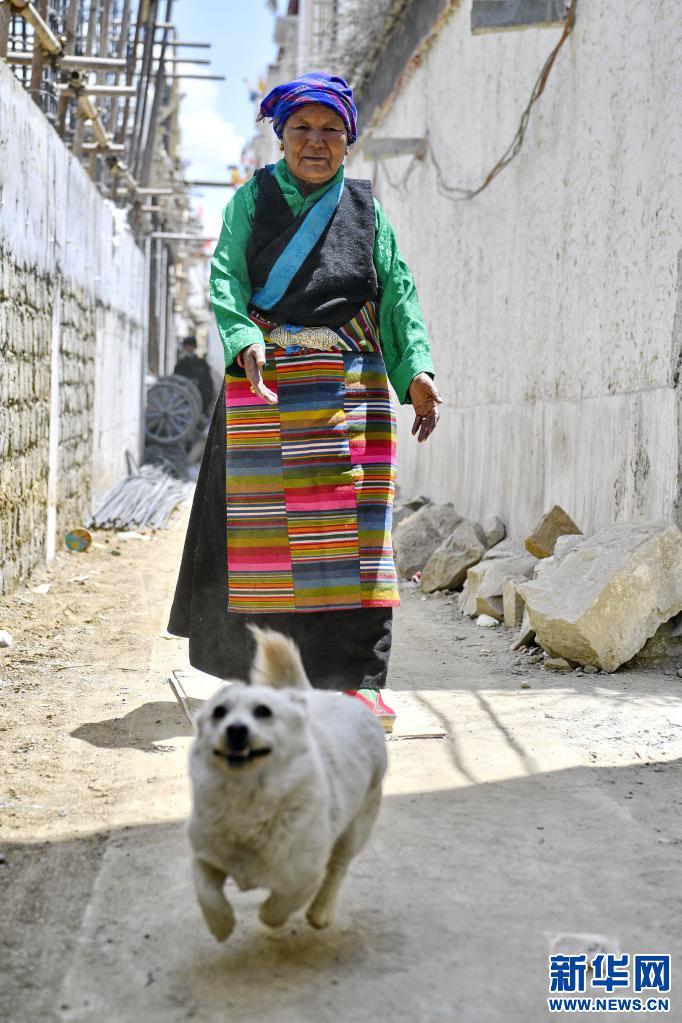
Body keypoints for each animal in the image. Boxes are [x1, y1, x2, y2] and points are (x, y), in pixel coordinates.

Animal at [188, 627, 388, 942]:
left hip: (357, 826)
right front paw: (221, 926)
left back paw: (320, 912)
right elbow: (206, 893)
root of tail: (311, 696)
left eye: (263, 712)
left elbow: (277, 907)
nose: (235, 729)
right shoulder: (205, 858)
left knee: (338, 868)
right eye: (219, 712)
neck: (247, 800)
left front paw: (269, 919)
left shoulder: (303, 877)